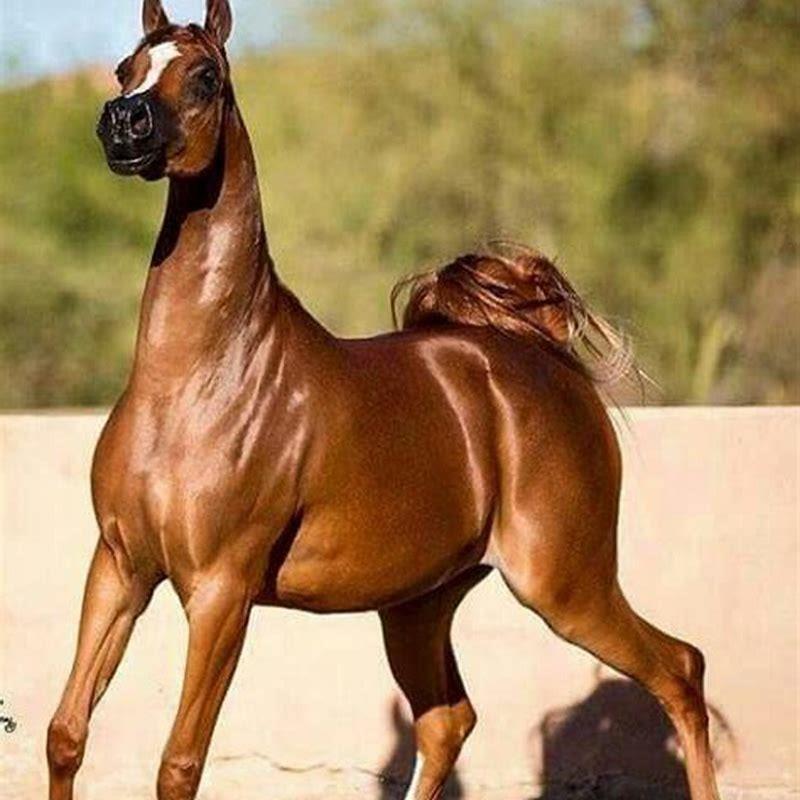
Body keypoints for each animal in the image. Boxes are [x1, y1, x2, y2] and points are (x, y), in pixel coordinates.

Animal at [46, 2, 721, 799]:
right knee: (448, 723)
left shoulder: (220, 590)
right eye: (127, 69)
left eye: (206, 76)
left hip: (564, 583)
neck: (196, 380)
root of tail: (543, 358)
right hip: (418, 606)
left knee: (680, 670)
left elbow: (179, 764)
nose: (124, 122)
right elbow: (67, 734)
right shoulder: (119, 567)